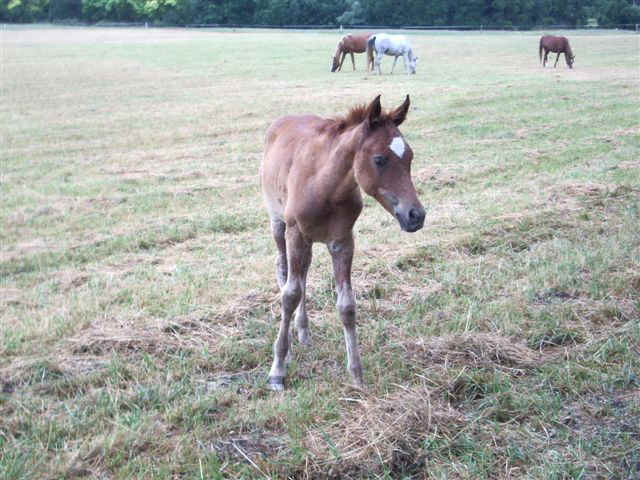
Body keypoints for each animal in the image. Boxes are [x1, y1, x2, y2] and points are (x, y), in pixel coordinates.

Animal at [262, 94, 428, 390]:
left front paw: (356, 375)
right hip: (279, 225)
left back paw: (303, 331)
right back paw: (290, 342)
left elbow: (346, 305)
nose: (416, 216)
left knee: (303, 276)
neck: (324, 185)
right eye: (379, 159)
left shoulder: (342, 241)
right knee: (284, 270)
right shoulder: (295, 233)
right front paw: (278, 369)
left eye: (409, 156)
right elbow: (290, 294)